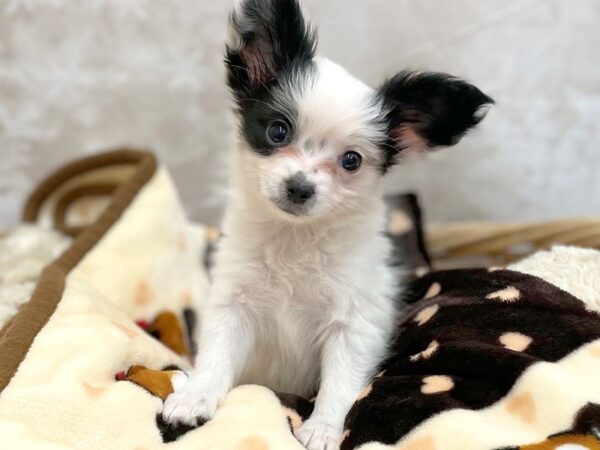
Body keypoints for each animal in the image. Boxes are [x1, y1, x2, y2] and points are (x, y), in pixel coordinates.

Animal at [164, 1, 492, 448]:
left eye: (351, 160)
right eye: (277, 130)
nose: (299, 187)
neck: (294, 238)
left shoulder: (353, 324)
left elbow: (339, 382)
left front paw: (321, 428)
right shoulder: (232, 302)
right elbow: (217, 352)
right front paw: (195, 396)